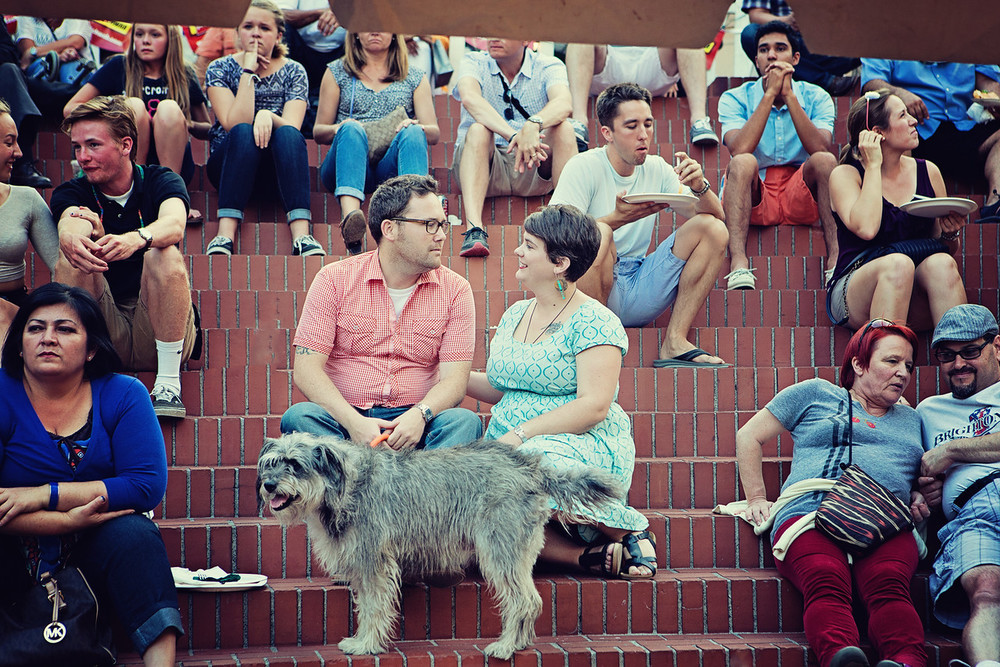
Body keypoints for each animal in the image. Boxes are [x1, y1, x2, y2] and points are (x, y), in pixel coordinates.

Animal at [254, 434, 620, 656]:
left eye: (295, 464)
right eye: (270, 463)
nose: (268, 485)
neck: (344, 485)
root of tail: (530, 468)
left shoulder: (373, 563)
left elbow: (374, 608)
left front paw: (367, 644)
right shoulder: (362, 565)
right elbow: (367, 607)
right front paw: (362, 639)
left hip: (500, 552)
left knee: (525, 601)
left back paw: (504, 647)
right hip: (517, 554)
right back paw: (519, 643)